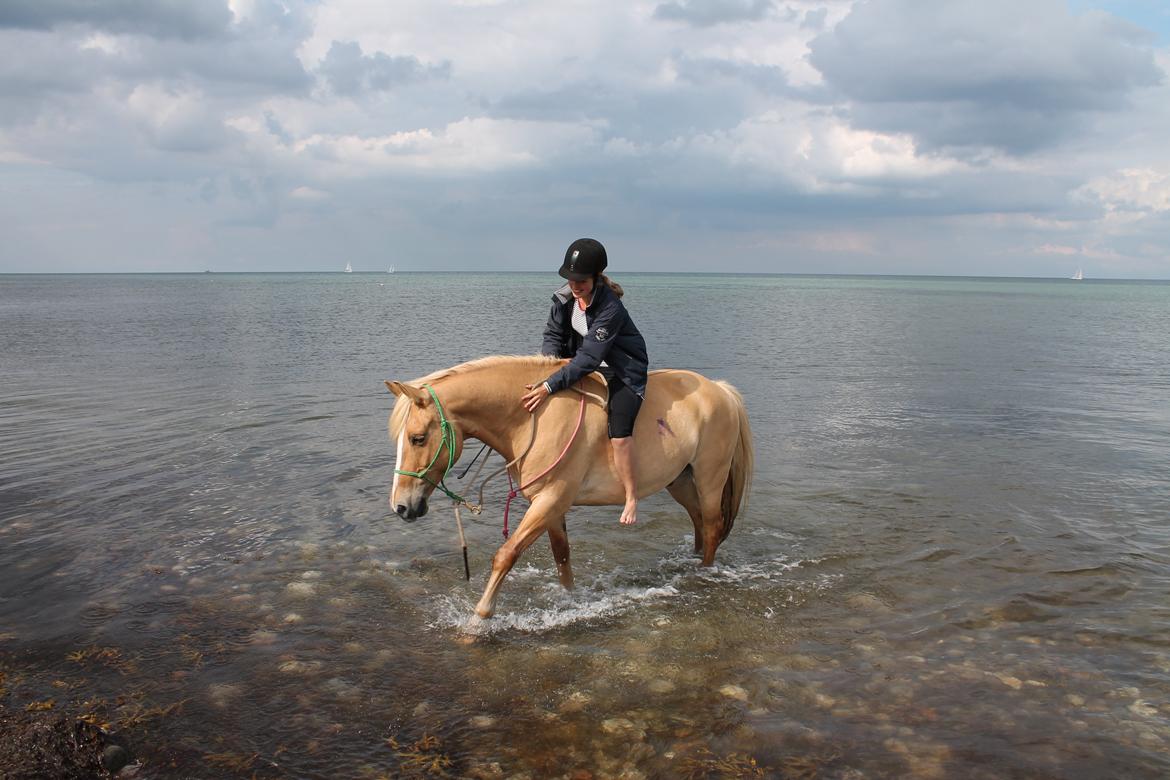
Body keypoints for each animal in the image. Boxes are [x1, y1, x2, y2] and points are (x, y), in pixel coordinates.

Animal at [383, 353, 748, 617]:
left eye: (417, 438)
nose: (401, 506)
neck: (533, 418)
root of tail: (720, 390)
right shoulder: (549, 505)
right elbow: (562, 556)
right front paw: (569, 598)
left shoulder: (551, 499)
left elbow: (506, 555)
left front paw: (480, 617)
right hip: (681, 481)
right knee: (699, 523)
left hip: (709, 478)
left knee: (712, 527)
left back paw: (704, 574)